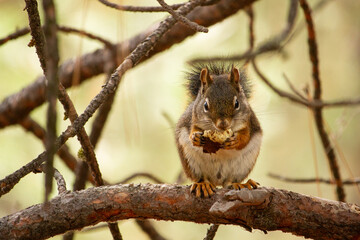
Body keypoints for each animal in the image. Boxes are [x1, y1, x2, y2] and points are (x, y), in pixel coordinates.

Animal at [176, 62, 262, 197]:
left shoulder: (248, 122)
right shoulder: (194, 119)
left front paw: (235, 141)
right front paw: (195, 137)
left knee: (231, 181)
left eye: (237, 103)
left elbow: (245, 136)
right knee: (201, 177)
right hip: (191, 163)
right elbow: (193, 129)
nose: (223, 124)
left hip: (243, 165)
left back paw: (240, 184)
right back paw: (203, 185)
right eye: (205, 105)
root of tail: (217, 181)